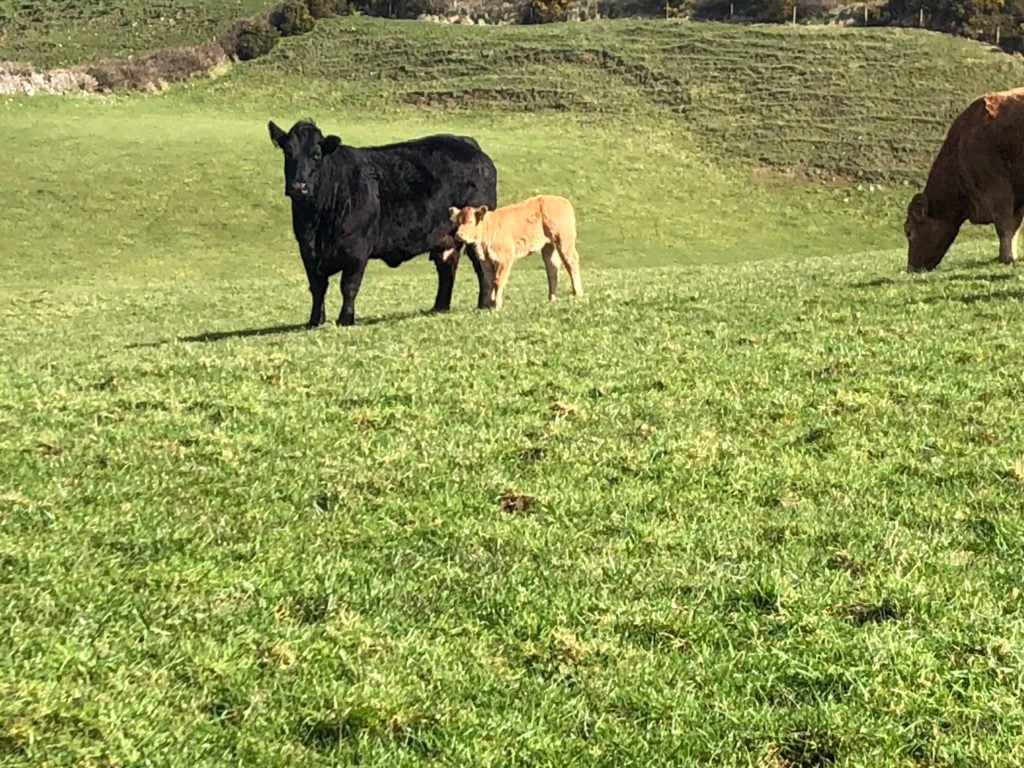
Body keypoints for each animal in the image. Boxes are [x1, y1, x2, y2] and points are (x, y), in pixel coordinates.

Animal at [268, 120, 498, 327]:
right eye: (288, 153)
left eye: (316, 155)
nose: (299, 186)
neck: (317, 224)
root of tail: (468, 144)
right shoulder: (307, 251)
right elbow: (317, 287)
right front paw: (315, 321)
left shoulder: (357, 251)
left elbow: (348, 286)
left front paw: (345, 319)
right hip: (445, 238)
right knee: (447, 268)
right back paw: (439, 307)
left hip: (476, 235)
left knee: (481, 266)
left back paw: (484, 305)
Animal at [449, 195, 583, 310]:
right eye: (458, 222)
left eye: (470, 221)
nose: (458, 235)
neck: (488, 228)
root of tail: (562, 200)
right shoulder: (486, 262)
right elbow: (490, 281)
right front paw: (490, 306)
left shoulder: (504, 260)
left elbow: (498, 281)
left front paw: (497, 306)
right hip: (548, 247)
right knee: (552, 269)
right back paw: (552, 298)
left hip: (564, 242)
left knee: (571, 263)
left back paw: (578, 294)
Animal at [906, 87, 1024, 272]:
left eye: (909, 232)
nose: (910, 268)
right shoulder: (1016, 197)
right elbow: (1014, 226)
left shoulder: (998, 188)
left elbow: (1003, 225)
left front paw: (1007, 258)